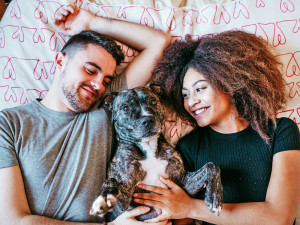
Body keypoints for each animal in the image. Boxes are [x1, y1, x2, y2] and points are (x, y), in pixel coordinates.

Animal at [89, 85, 223, 222]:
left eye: (153, 101)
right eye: (125, 108)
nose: (147, 120)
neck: (149, 149)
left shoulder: (182, 185)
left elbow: (212, 165)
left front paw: (214, 196)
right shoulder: (126, 201)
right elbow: (110, 180)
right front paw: (104, 197)